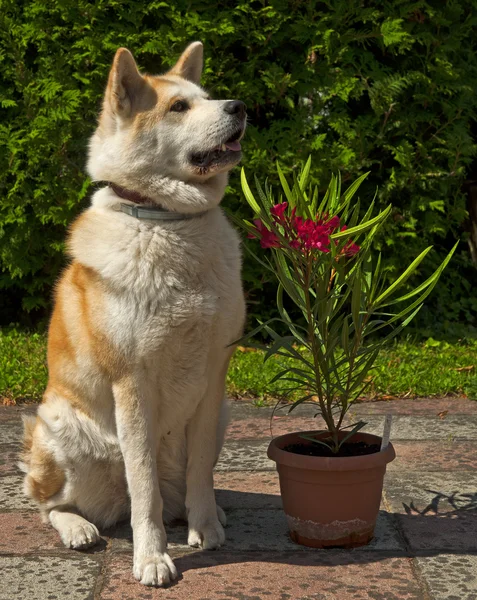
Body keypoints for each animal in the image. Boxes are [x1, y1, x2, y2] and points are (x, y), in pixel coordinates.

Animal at [19, 44, 245, 588]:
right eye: (178, 108)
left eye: (208, 96)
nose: (240, 107)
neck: (168, 221)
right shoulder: (132, 382)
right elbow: (143, 486)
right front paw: (151, 558)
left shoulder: (214, 376)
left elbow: (202, 471)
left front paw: (207, 530)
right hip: (60, 427)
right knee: (50, 503)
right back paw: (78, 528)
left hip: (220, 417)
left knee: (177, 489)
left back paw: (202, 512)